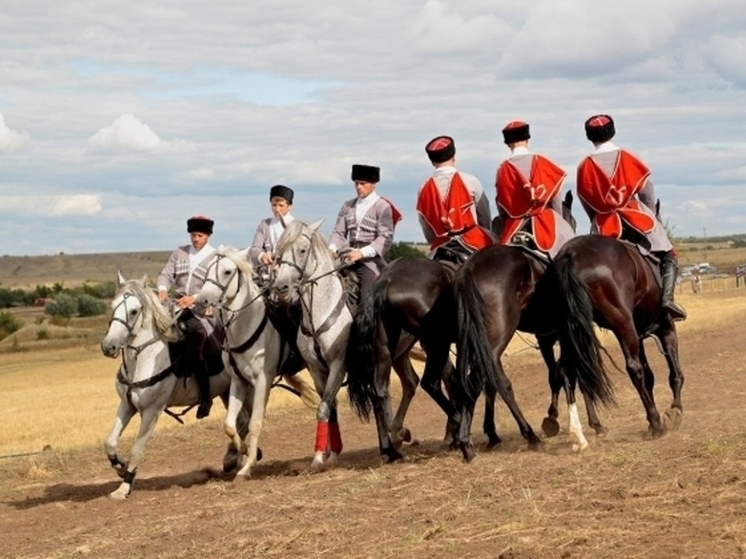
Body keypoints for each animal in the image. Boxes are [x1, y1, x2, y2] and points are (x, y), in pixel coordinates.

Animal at [99, 274, 243, 500]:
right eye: (113, 306)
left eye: (134, 311)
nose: (109, 346)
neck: (142, 359)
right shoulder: (126, 405)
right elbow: (110, 442)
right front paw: (120, 466)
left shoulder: (152, 412)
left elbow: (137, 449)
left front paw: (125, 486)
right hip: (227, 392)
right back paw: (234, 459)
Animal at [193, 247, 316, 480]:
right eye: (208, 269)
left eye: (227, 271)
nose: (201, 301)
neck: (245, 326)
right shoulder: (238, 382)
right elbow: (229, 424)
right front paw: (244, 450)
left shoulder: (262, 381)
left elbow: (255, 423)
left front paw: (247, 466)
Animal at [272, 221, 354, 470]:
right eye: (279, 253)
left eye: (302, 250)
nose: (281, 287)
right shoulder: (316, 369)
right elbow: (329, 408)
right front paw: (327, 453)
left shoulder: (338, 364)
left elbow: (324, 407)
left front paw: (321, 456)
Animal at [544, 234, 684, 440]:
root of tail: (570, 254)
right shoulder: (666, 329)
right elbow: (674, 374)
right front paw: (674, 411)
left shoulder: (639, 335)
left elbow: (650, 376)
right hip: (622, 323)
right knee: (634, 369)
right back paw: (656, 423)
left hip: (571, 331)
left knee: (568, 371)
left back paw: (579, 432)